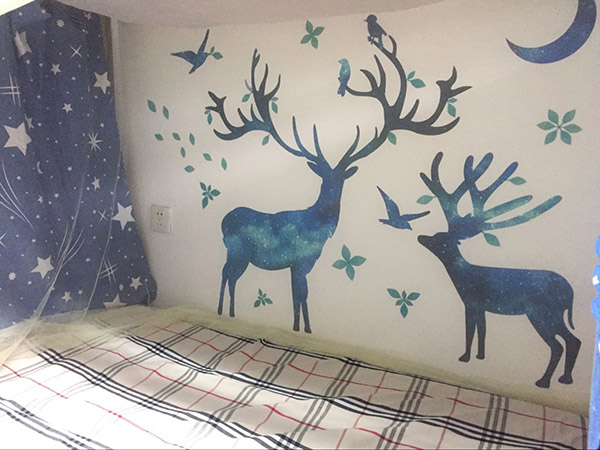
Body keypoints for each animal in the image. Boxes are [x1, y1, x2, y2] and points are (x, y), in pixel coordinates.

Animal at [206, 29, 471, 333]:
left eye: (340, 178)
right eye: (324, 179)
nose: (332, 198)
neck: (317, 228)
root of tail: (222, 220)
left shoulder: (303, 263)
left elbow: (300, 295)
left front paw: (303, 329)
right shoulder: (301, 260)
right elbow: (300, 294)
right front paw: (303, 328)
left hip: (239, 255)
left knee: (230, 276)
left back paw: (226, 312)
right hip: (237, 252)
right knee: (226, 274)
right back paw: (223, 311)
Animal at [417, 151, 580, 388]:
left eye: (439, 238)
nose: (421, 237)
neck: (462, 277)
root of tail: (570, 292)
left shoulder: (471, 302)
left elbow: (470, 331)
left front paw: (464, 358)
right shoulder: (483, 307)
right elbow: (483, 332)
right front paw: (479, 357)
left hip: (543, 313)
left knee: (559, 344)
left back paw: (544, 381)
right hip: (554, 314)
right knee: (573, 340)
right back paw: (565, 379)